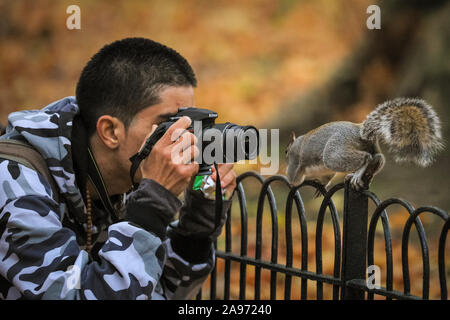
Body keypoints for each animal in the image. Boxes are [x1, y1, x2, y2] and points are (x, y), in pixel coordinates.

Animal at [286, 97, 444, 191]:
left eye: (286, 152)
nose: (286, 155)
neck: (296, 144)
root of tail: (360, 132)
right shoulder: (325, 173)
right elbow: (326, 179)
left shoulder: (295, 160)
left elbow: (294, 178)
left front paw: (291, 183)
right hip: (371, 150)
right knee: (377, 158)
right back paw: (363, 174)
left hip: (334, 153)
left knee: (366, 157)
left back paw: (357, 174)